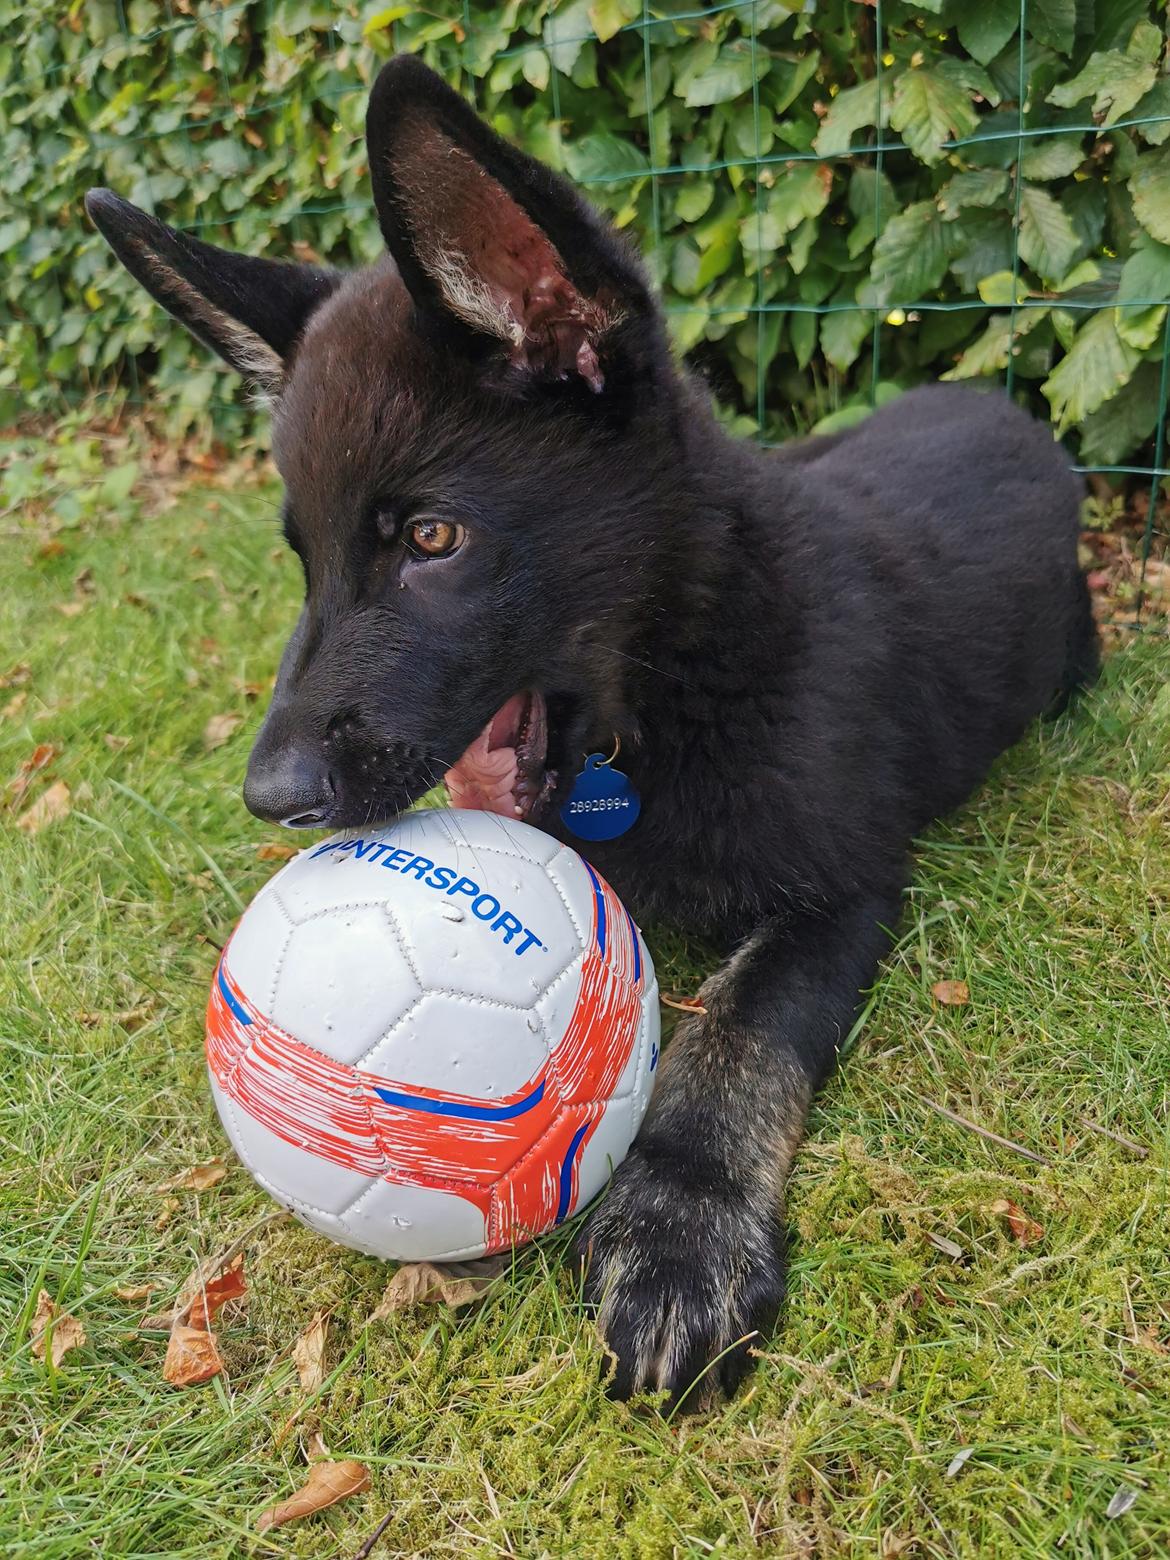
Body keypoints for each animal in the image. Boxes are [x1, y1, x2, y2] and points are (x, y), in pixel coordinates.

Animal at [89, 57, 1098, 1404]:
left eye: (432, 539)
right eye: (303, 559)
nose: (271, 796)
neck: (686, 661)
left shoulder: (846, 891)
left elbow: (737, 1037)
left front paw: (680, 1223)